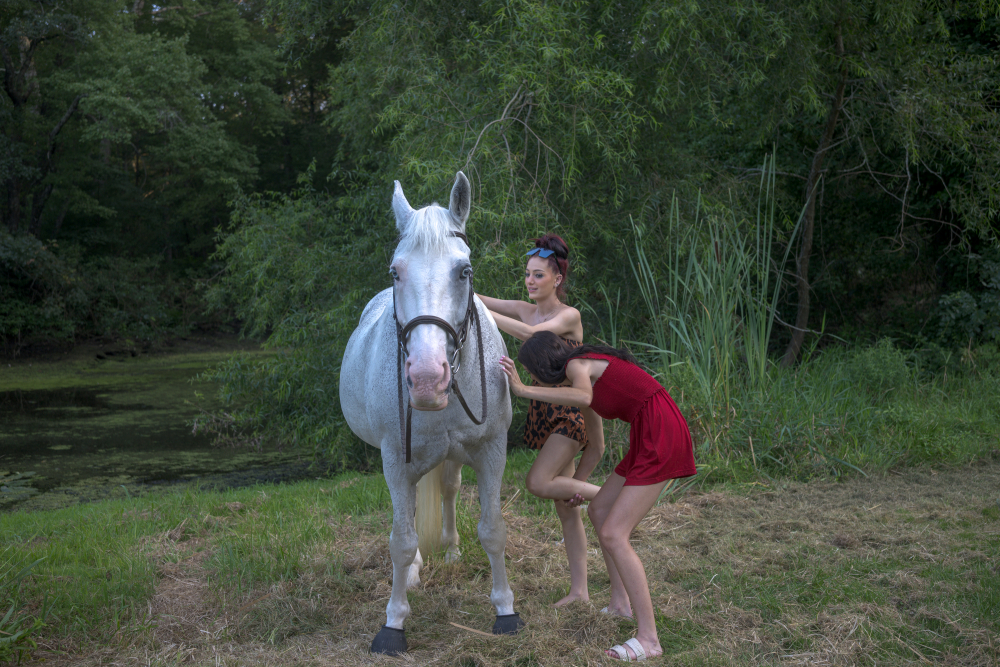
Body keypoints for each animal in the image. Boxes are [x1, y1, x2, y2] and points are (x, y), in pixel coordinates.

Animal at [339, 171, 522, 655]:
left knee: (449, 489)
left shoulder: (492, 449)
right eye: (395, 271)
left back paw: (452, 549)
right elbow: (401, 541)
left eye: (465, 271)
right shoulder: (396, 461)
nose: (425, 377)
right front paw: (394, 622)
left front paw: (505, 610)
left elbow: (493, 529)